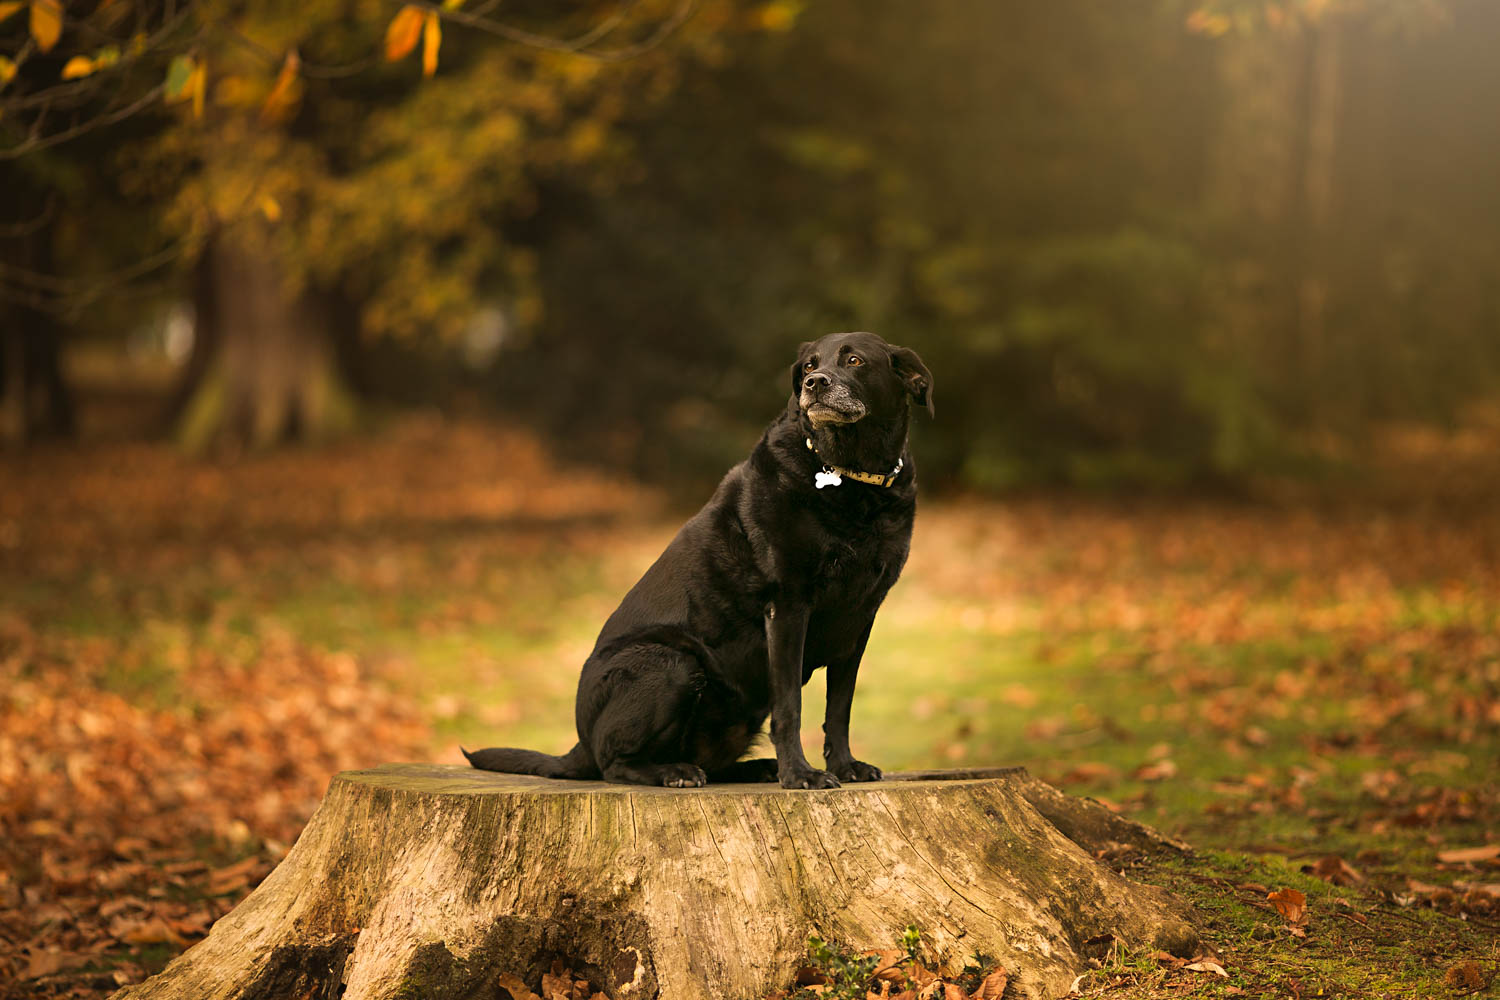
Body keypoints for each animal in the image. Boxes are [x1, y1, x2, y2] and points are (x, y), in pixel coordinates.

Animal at [468, 334, 930, 791]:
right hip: (671, 663)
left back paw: (754, 768)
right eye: (810, 364)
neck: (850, 475)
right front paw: (800, 775)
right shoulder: (787, 606)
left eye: (854, 361)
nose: (813, 384)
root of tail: (580, 742)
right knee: (614, 764)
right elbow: (790, 707)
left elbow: (839, 708)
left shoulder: (859, 619)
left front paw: (846, 767)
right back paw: (675, 772)